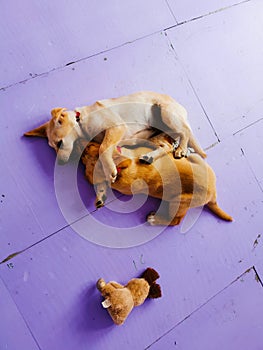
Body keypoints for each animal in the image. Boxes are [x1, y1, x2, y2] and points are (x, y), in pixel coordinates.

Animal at [80, 134, 233, 227]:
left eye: (90, 147)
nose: (80, 150)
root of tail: (213, 195)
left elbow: (134, 141)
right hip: (178, 201)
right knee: (176, 221)